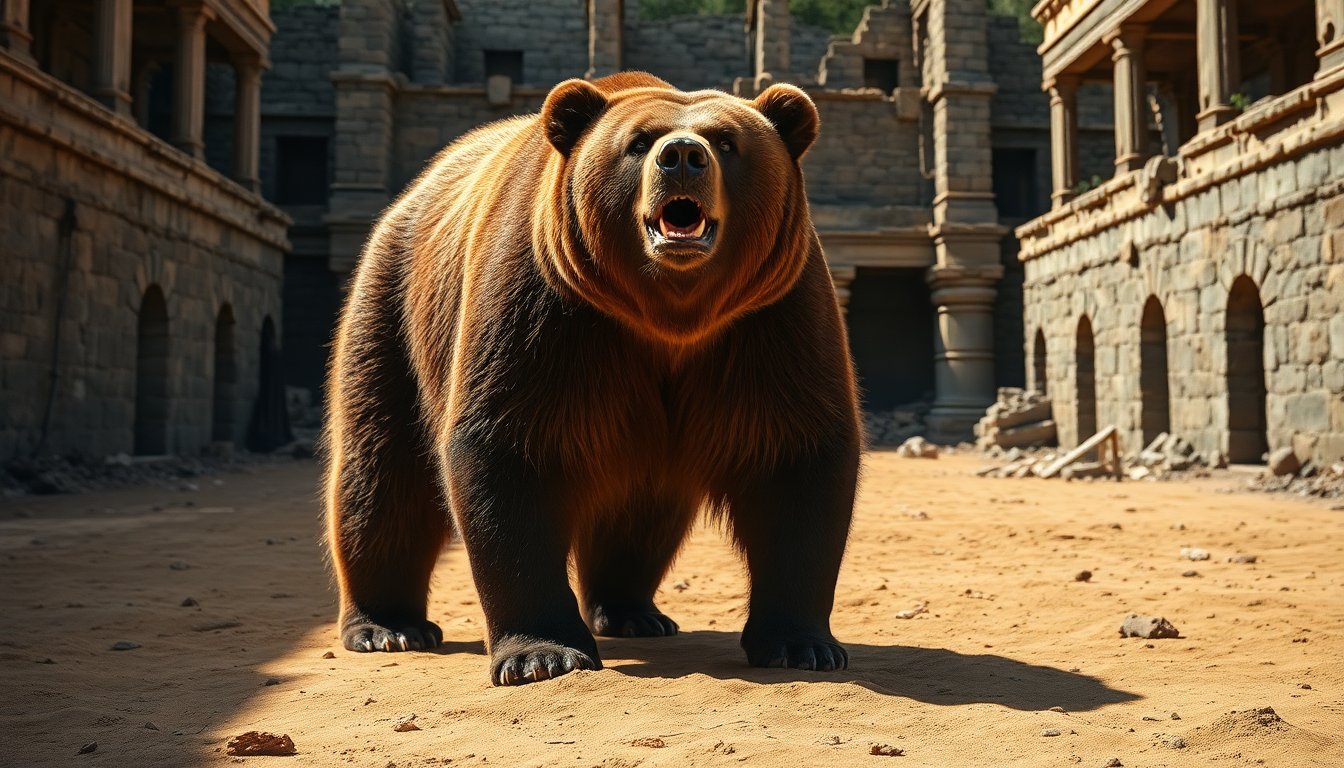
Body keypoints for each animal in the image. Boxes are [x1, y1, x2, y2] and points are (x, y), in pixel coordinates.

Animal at [324, 71, 860, 686]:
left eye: (727, 142)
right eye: (639, 142)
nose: (681, 156)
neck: (669, 319)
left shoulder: (773, 320)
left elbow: (797, 461)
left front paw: (803, 644)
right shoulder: (545, 312)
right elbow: (508, 452)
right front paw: (542, 654)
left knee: (641, 510)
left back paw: (632, 611)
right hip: (394, 309)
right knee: (383, 470)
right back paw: (388, 625)